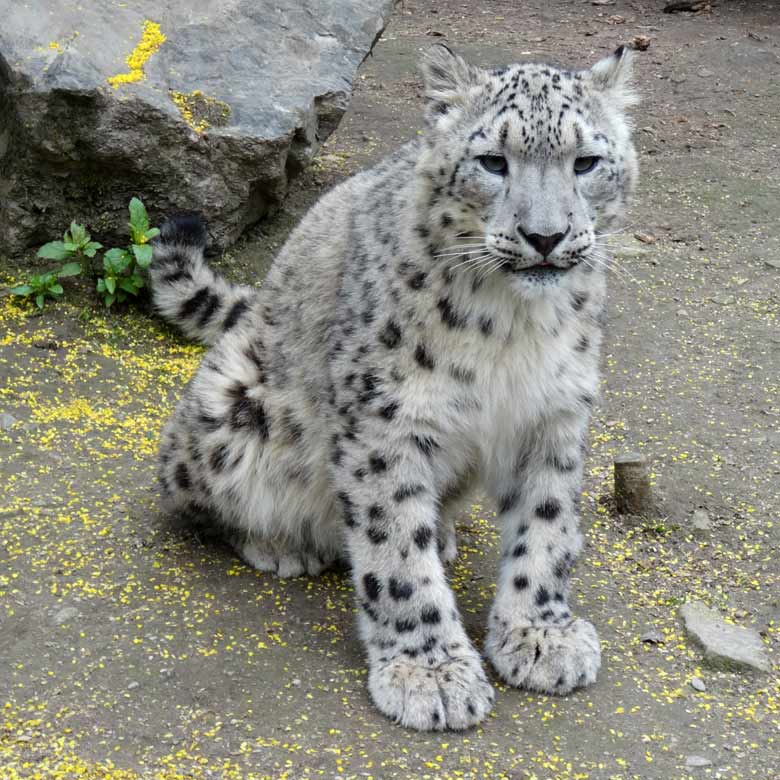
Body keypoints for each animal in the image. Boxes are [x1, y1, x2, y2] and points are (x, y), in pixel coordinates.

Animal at [149, 45, 636, 732]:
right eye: (493, 161)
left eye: (586, 161)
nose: (545, 237)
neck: (517, 326)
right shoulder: (386, 420)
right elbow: (396, 549)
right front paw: (431, 672)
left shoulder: (554, 414)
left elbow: (547, 524)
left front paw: (541, 634)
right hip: (228, 407)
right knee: (193, 497)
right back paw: (281, 544)